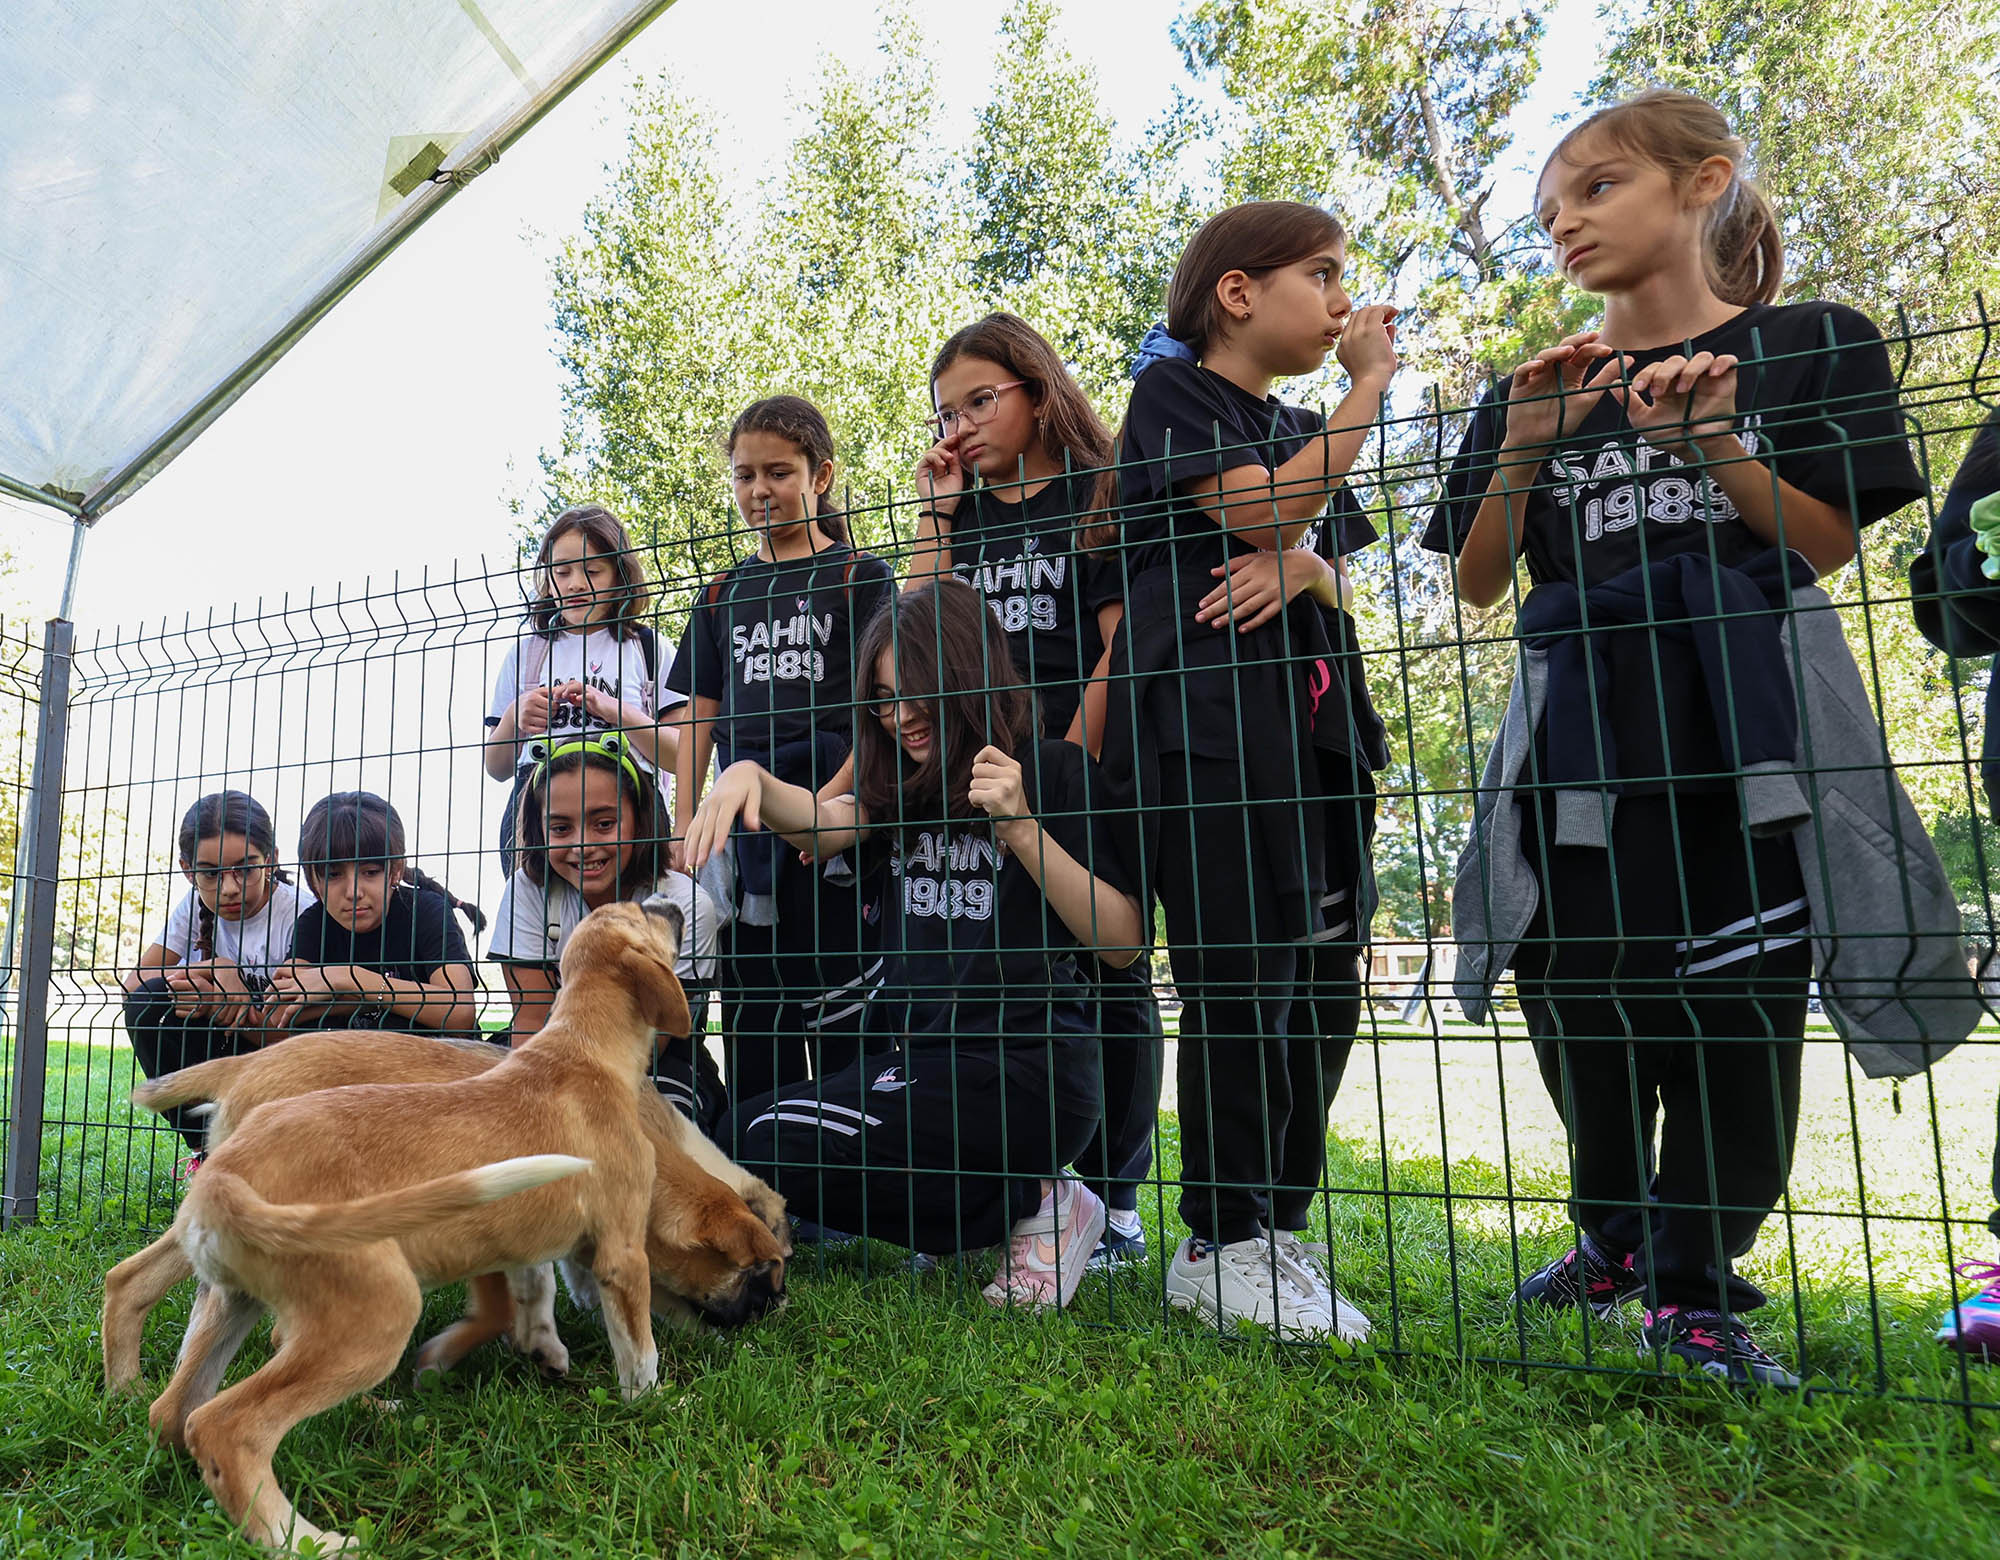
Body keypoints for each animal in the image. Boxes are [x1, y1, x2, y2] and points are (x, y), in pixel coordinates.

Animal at [103, 1032, 788, 1392]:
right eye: (756, 1275)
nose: (775, 1313)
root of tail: (247, 1062)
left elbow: (552, 1281)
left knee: (162, 1285)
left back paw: (147, 1386)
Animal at [133, 896, 696, 1552]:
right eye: (642, 913)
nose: (670, 901)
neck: (582, 1049)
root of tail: (225, 1177)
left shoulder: (514, 1244)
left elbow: (526, 1299)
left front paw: (507, 1352)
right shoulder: (623, 1254)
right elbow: (639, 1348)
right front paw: (655, 1404)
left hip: (233, 1299)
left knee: (174, 1412)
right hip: (372, 1317)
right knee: (225, 1426)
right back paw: (305, 1539)